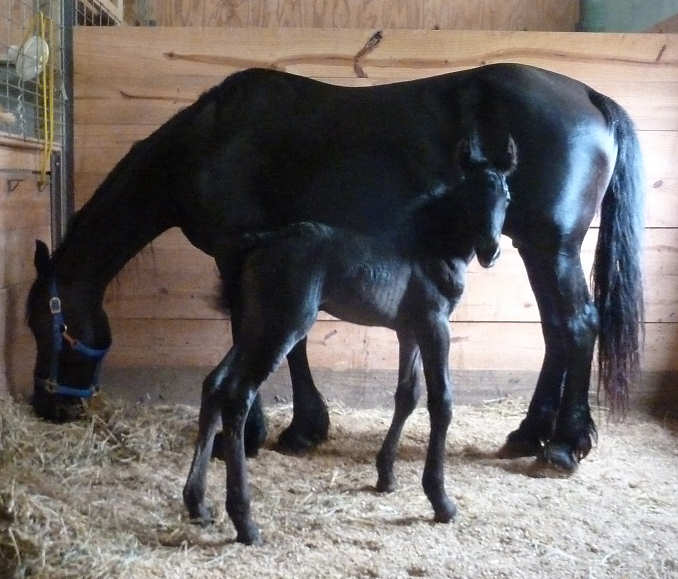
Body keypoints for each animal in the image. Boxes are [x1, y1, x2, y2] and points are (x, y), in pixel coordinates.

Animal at [27, 63, 644, 478]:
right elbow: (290, 343)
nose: (49, 405)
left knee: (577, 326)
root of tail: (590, 95)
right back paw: (529, 434)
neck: (207, 143)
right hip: (536, 248)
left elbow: (253, 334)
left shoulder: (237, 253)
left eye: (45, 325)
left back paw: (563, 444)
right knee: (557, 333)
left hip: (550, 245)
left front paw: (252, 435)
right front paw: (302, 428)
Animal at [183, 132, 516, 543]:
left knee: (215, 384)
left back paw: (198, 503)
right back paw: (245, 522)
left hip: (253, 326)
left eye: (506, 198)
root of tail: (259, 242)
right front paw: (441, 501)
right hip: (281, 327)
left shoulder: (408, 330)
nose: (490, 250)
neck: (428, 243)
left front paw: (385, 475)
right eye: (470, 196)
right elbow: (442, 402)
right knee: (238, 395)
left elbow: (407, 395)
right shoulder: (435, 324)